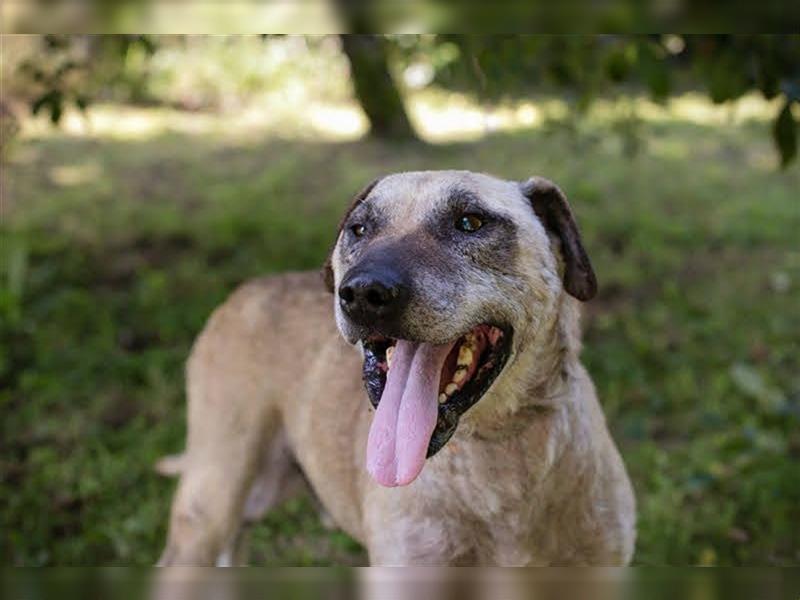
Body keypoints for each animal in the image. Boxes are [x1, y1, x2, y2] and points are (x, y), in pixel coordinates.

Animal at [156, 170, 636, 568]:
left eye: (470, 222)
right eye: (359, 229)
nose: (363, 293)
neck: (495, 450)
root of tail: (246, 290)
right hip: (210, 503)